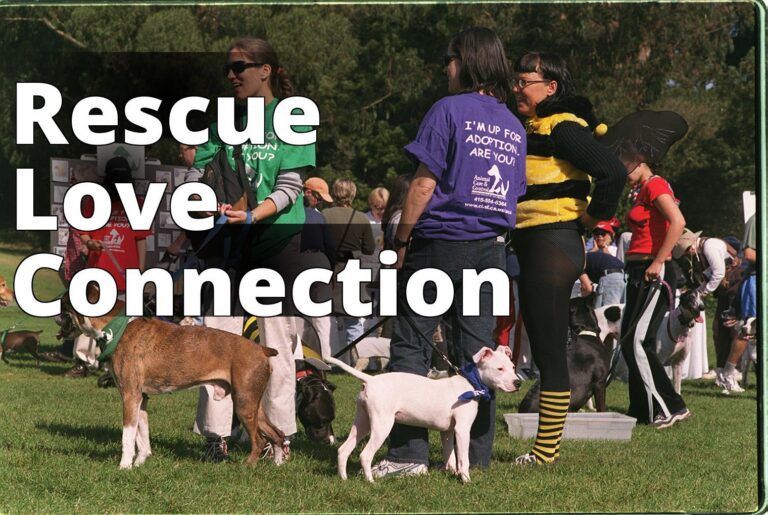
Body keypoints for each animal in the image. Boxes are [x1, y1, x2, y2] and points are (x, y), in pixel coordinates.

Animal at [56, 290, 284, 472]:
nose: (55, 316)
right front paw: (140, 462)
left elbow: (128, 436)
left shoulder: (130, 396)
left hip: (243, 403)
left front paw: (124, 466)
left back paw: (248, 466)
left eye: (65, 302)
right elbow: (142, 435)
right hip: (253, 405)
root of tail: (261, 348)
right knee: (278, 434)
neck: (115, 328)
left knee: (260, 440)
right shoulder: (141, 399)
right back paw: (278, 464)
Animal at [328, 346, 520, 484]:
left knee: (343, 450)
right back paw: (370, 482)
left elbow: (450, 455)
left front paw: (452, 473)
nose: (518, 382)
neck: (472, 383)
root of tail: (371, 379)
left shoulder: (448, 431)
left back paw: (343, 479)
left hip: (363, 422)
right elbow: (463, 458)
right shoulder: (462, 429)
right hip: (382, 424)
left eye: (513, 367)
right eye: (500, 369)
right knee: (365, 455)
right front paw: (466, 479)